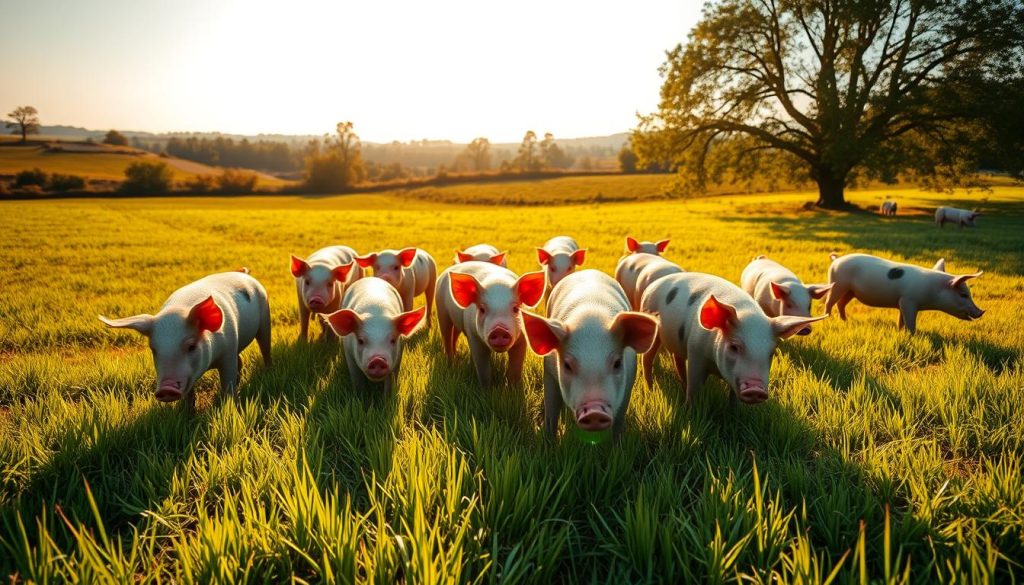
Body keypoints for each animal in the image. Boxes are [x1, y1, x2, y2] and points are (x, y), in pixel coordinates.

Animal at [99, 271, 272, 408]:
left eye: (191, 346)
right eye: (154, 349)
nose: (166, 389)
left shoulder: (228, 351)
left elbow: (227, 384)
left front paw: (230, 407)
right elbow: (189, 394)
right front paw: (188, 413)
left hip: (265, 318)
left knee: (265, 348)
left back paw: (268, 372)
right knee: (241, 359)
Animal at [521, 270, 659, 439]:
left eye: (617, 363)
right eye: (567, 365)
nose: (594, 412)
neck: (591, 319)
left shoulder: (629, 379)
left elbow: (619, 420)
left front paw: (616, 443)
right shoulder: (549, 372)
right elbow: (551, 412)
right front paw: (549, 440)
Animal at [639, 273, 824, 406]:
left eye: (771, 353)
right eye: (734, 347)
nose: (756, 389)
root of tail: (653, 285)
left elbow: (734, 399)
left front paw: (734, 413)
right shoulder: (696, 353)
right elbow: (694, 388)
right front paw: (689, 410)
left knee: (675, 357)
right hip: (652, 326)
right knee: (647, 359)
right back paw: (650, 387)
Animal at [824, 253, 984, 334]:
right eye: (963, 294)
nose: (982, 312)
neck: (933, 290)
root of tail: (836, 260)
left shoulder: (901, 302)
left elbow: (901, 320)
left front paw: (900, 332)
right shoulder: (909, 301)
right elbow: (911, 323)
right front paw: (911, 335)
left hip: (850, 291)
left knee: (841, 304)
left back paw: (845, 321)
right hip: (837, 284)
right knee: (829, 302)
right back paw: (828, 318)